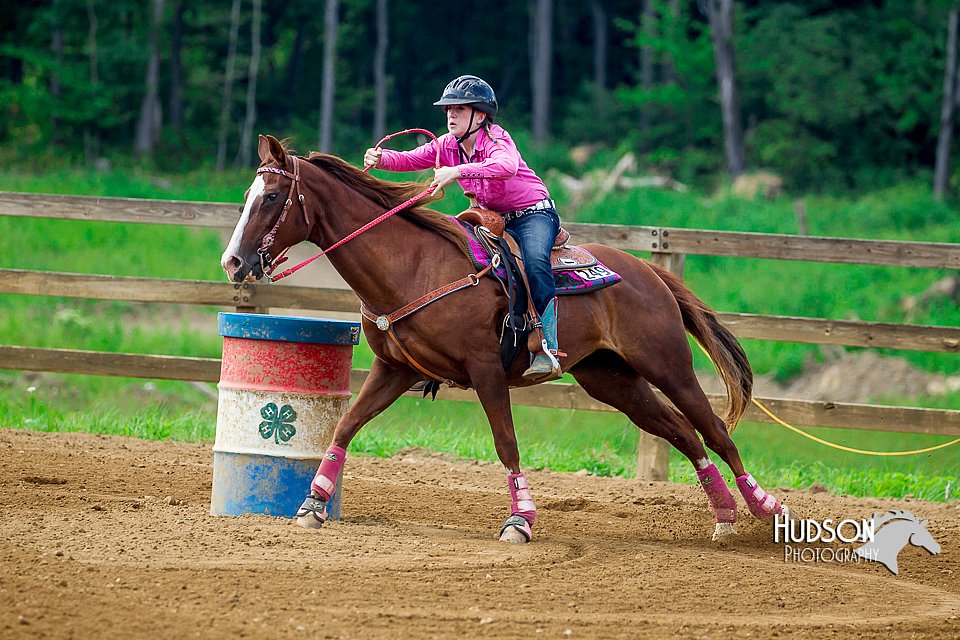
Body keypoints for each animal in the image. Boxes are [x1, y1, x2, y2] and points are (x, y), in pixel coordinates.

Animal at [221, 136, 792, 544]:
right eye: (248, 195)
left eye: (270, 196)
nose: (232, 262)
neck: (414, 266)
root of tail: (650, 273)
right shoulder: (394, 369)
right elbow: (345, 424)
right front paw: (313, 504)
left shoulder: (485, 370)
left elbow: (507, 442)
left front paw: (521, 521)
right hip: (612, 380)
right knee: (681, 433)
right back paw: (724, 514)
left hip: (668, 365)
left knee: (713, 430)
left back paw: (766, 509)